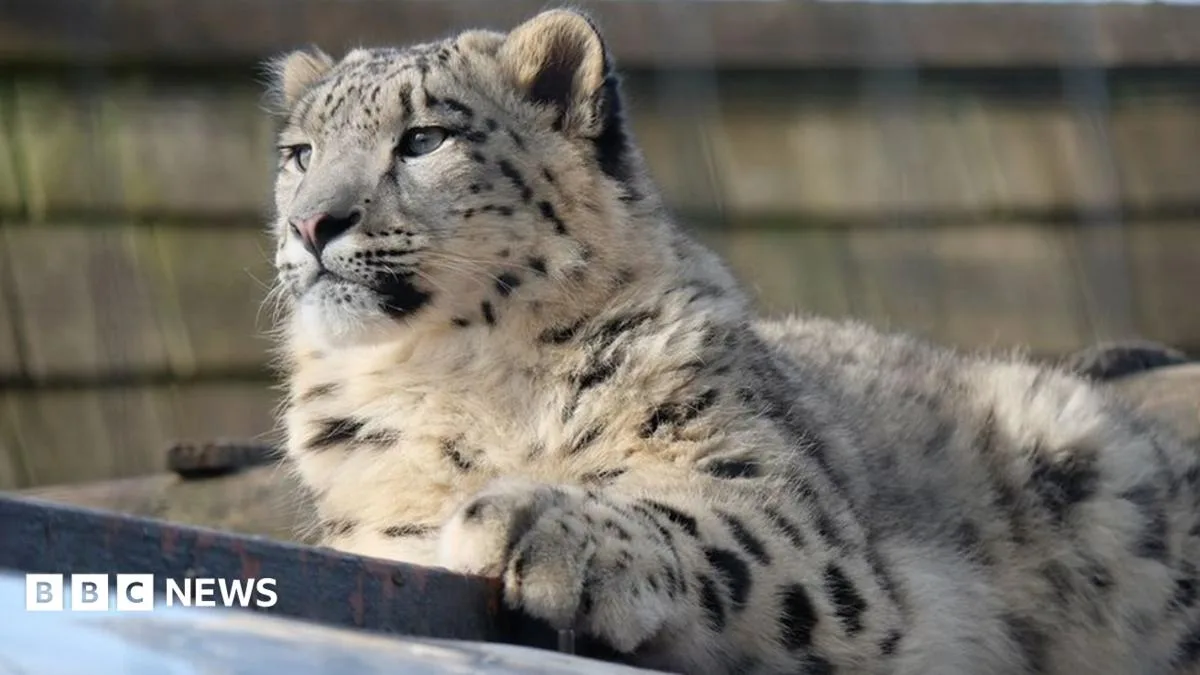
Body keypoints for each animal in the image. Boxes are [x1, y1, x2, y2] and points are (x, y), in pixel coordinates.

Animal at [264, 8, 1200, 674]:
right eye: (299, 153)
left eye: (425, 139)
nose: (312, 221)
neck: (453, 377)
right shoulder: (377, 530)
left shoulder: (782, 505)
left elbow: (707, 522)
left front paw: (531, 520)